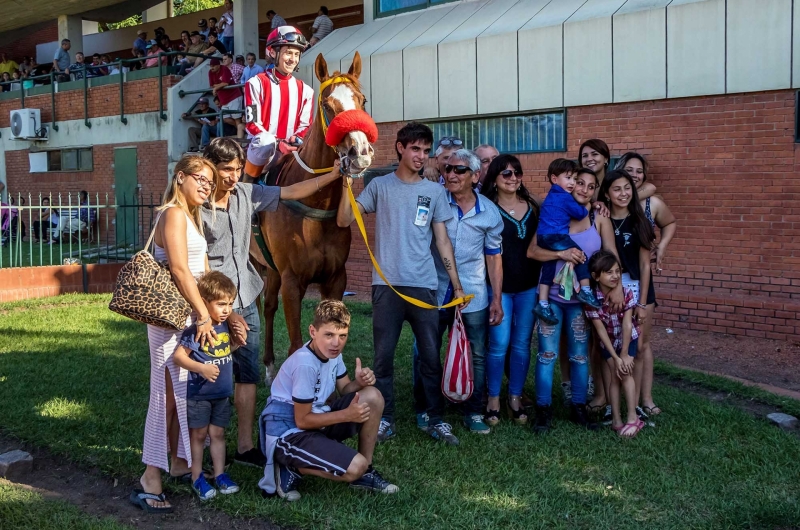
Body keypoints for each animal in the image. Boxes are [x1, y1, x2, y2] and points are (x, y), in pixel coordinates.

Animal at [250, 51, 376, 382]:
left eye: (362, 100)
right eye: (327, 105)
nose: (360, 153)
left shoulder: (335, 278)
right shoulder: (293, 281)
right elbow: (297, 345)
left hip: (271, 268)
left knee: (268, 306)